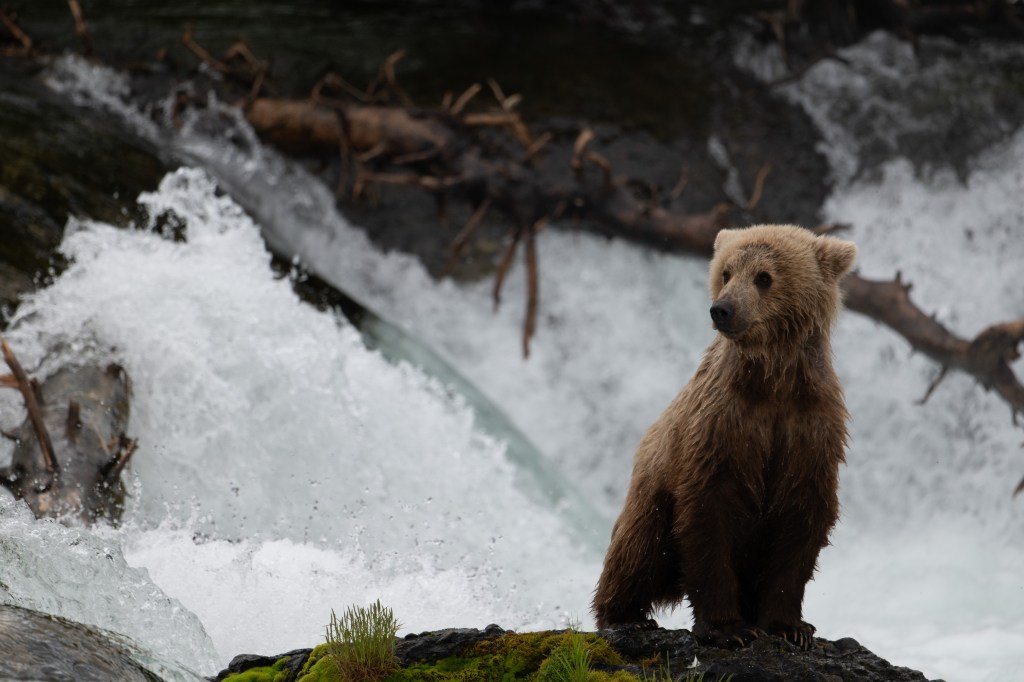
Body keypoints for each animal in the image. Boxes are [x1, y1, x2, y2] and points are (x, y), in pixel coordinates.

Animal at [591, 224, 857, 650]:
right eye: (726, 272)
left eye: (764, 277)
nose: (723, 309)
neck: (773, 380)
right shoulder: (721, 426)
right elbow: (707, 515)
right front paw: (729, 629)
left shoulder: (810, 430)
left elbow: (801, 521)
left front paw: (790, 627)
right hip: (652, 489)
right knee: (638, 549)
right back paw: (625, 617)